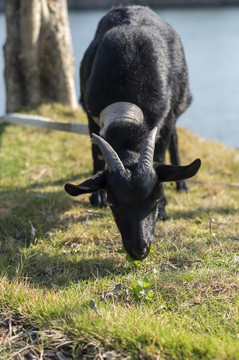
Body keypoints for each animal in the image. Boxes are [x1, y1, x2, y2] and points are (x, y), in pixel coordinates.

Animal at [64, 4, 201, 258]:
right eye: (112, 202)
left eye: (155, 199)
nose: (140, 250)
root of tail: (133, 6)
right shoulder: (90, 113)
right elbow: (96, 154)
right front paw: (95, 196)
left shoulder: (165, 116)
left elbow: (161, 154)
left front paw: (165, 209)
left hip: (179, 103)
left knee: (176, 138)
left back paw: (182, 185)